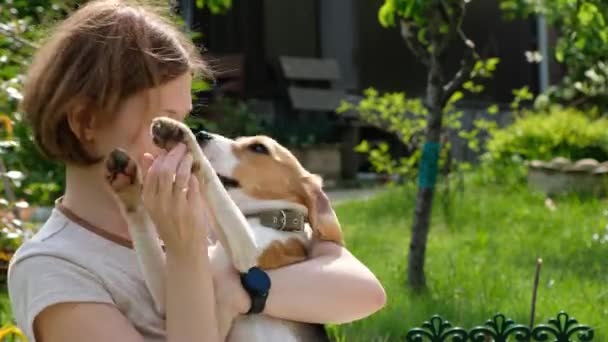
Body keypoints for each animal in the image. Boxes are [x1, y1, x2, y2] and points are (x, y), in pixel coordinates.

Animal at [104, 116, 342, 340]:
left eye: (259, 148)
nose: (202, 134)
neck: (260, 216)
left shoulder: (251, 255)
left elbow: (210, 178)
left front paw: (182, 135)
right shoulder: (173, 298)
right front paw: (128, 186)